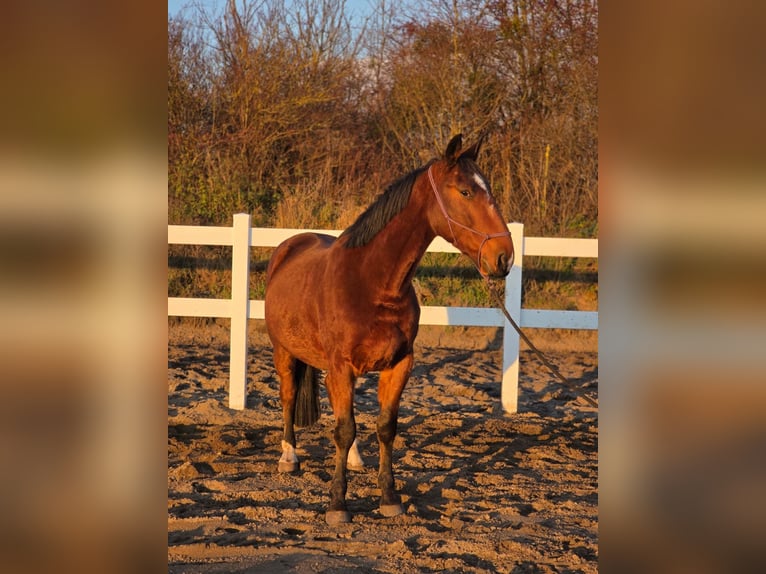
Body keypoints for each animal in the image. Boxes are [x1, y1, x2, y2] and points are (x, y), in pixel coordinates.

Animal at [264, 134, 514, 525]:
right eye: (465, 191)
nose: (504, 257)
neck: (373, 282)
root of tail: (290, 245)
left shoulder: (398, 365)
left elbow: (383, 427)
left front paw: (389, 497)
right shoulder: (340, 366)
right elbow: (344, 428)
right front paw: (337, 504)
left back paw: (354, 459)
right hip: (284, 353)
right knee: (289, 398)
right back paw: (288, 457)